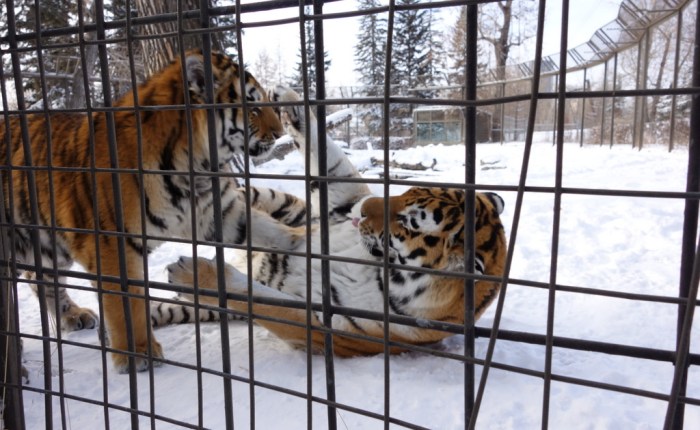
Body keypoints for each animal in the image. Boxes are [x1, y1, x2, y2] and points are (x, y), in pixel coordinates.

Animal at [0, 50, 305, 373]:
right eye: (253, 107)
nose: (280, 133)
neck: (194, 165)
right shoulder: (112, 243)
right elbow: (127, 304)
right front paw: (138, 353)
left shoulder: (218, 211)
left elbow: (270, 230)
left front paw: (304, 242)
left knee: (42, 279)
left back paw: (73, 316)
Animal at [154, 86, 508, 356]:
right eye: (407, 191)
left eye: (408, 222)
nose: (361, 210)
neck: (381, 272)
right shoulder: (333, 212)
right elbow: (333, 162)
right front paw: (292, 101)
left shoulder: (322, 327)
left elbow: (265, 302)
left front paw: (195, 274)